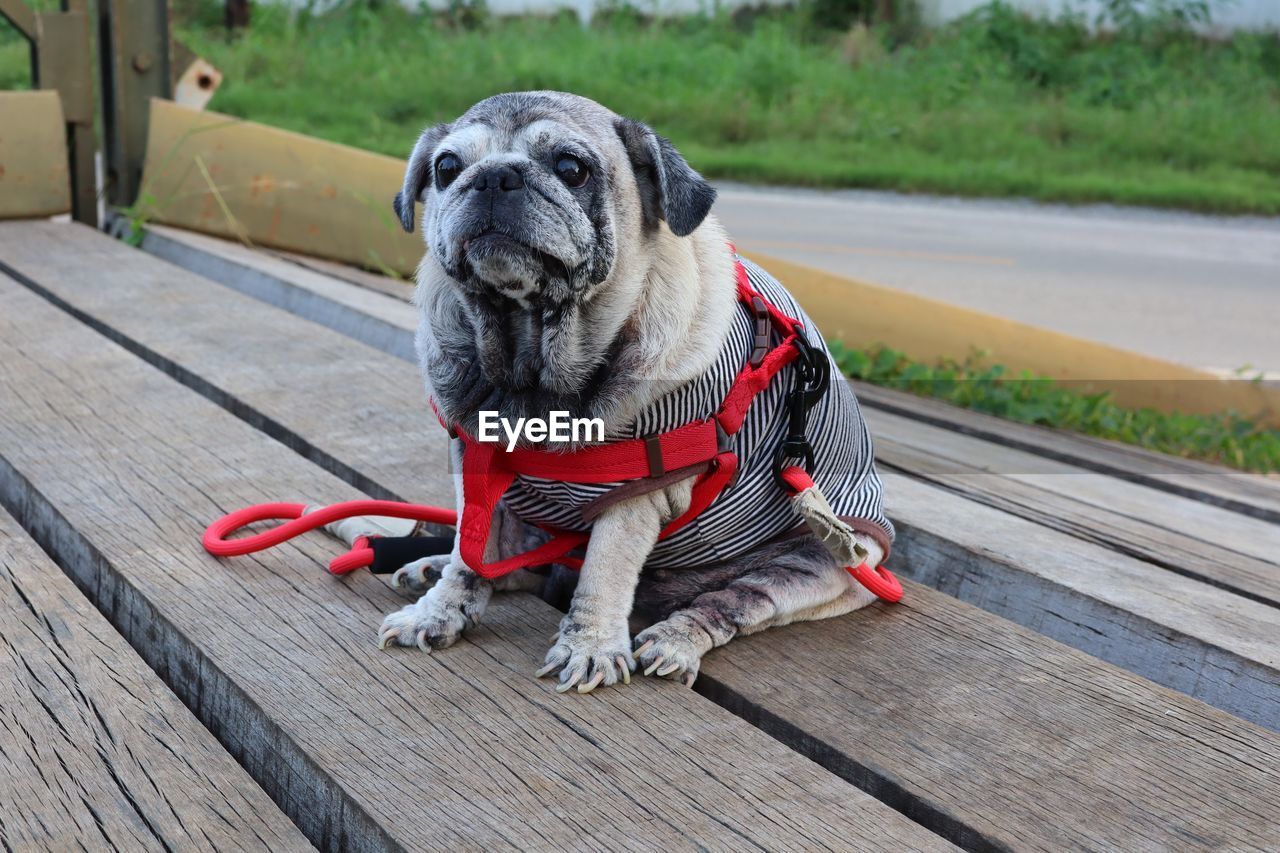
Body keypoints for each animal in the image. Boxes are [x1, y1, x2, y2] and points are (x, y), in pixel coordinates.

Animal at [373, 92, 896, 691]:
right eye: (446, 168)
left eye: (571, 168)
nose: (493, 176)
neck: (531, 361)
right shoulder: (476, 461)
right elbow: (469, 551)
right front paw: (440, 610)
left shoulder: (639, 492)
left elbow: (604, 571)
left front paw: (590, 647)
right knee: (517, 564)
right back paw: (431, 566)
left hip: (820, 561)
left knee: (725, 604)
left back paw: (675, 640)